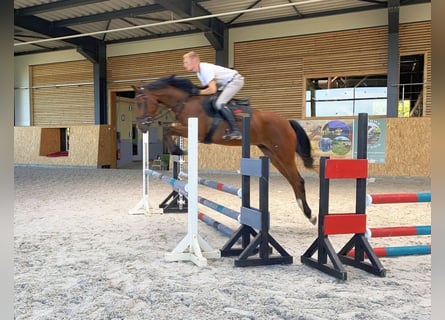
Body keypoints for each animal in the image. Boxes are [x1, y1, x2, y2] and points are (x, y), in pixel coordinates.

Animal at [132, 74, 316, 225]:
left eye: (141, 103)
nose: (141, 126)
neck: (186, 101)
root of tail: (287, 122)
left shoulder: (197, 131)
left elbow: (167, 129)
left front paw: (178, 150)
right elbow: (167, 130)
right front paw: (178, 150)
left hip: (284, 154)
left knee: (298, 180)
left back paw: (310, 215)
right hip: (272, 154)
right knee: (292, 180)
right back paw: (306, 212)